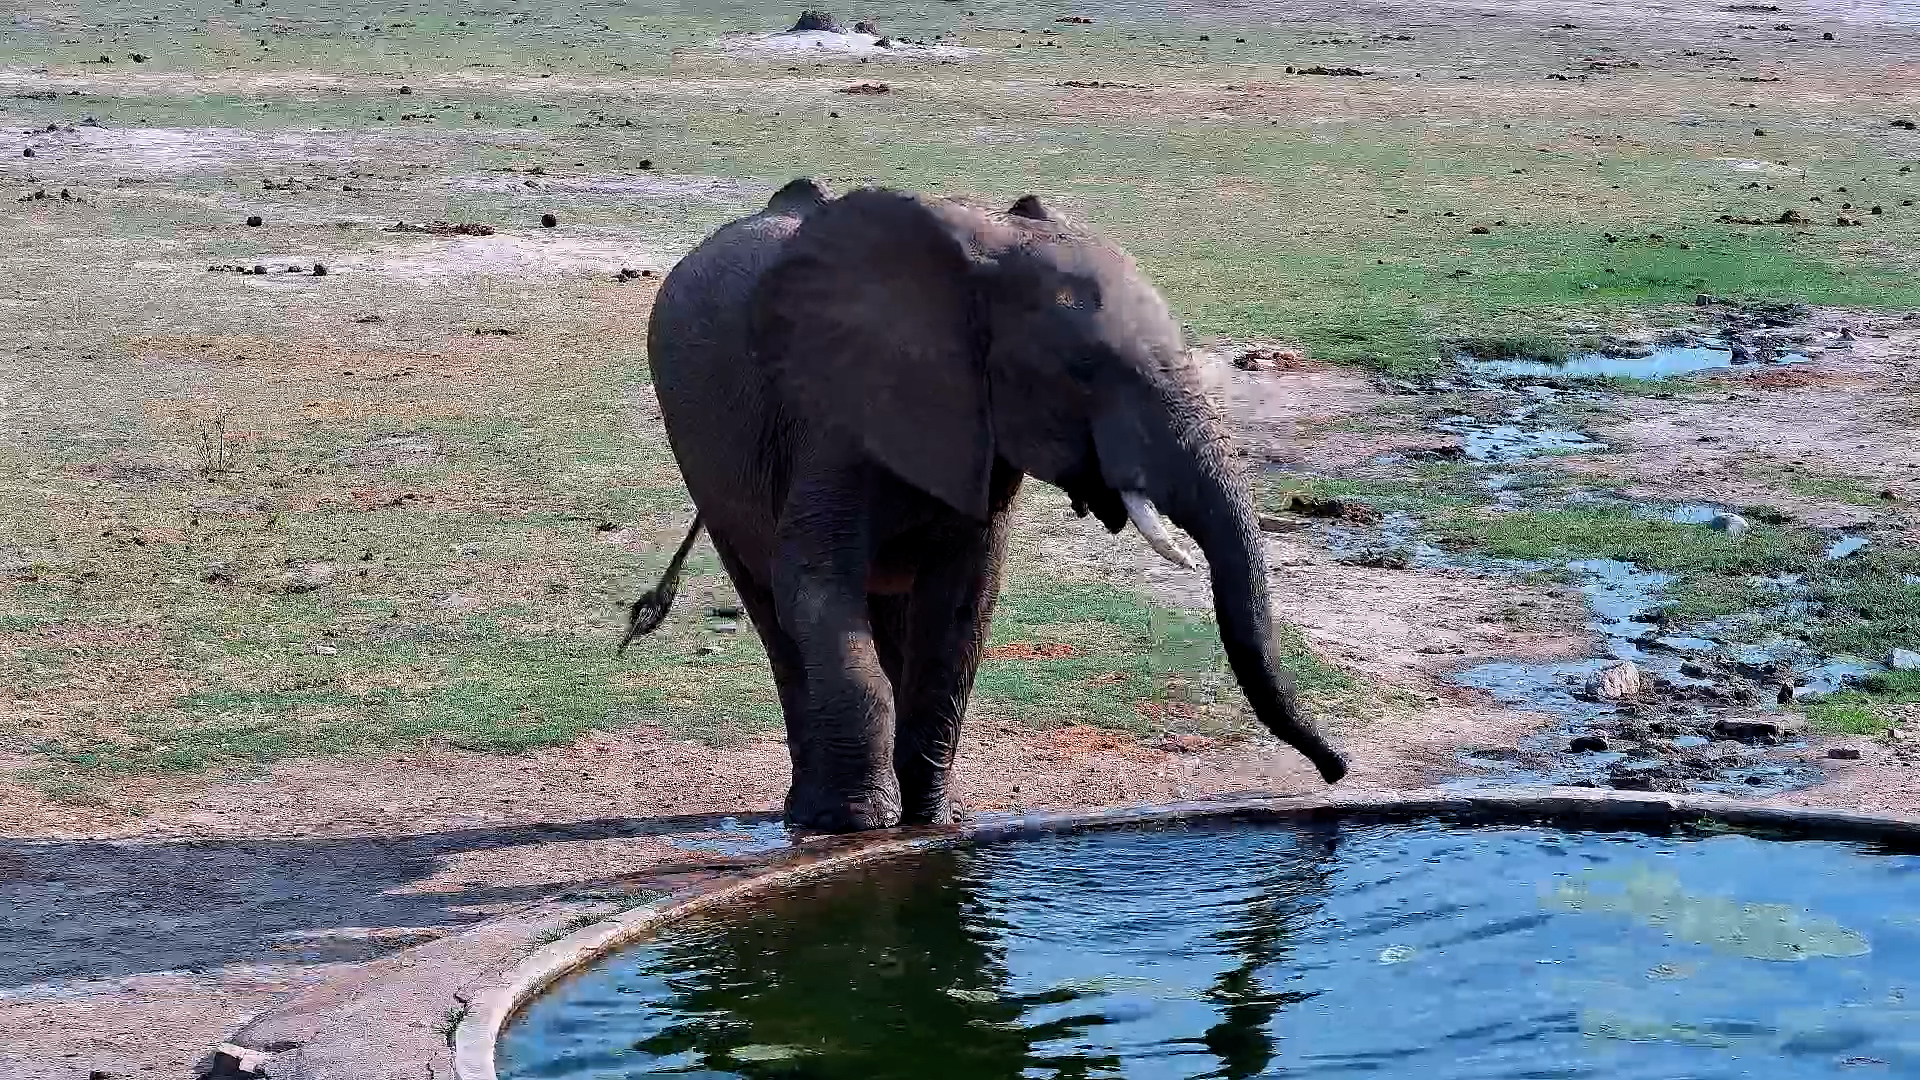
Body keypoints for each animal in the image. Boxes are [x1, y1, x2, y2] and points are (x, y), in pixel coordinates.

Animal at [629, 177, 1347, 832]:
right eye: (1081, 372)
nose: (1336, 770)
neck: (982, 260)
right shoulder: (829, 417)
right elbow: (815, 585)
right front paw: (862, 827)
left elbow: (962, 606)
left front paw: (935, 824)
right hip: (702, 452)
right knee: (771, 609)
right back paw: (808, 817)